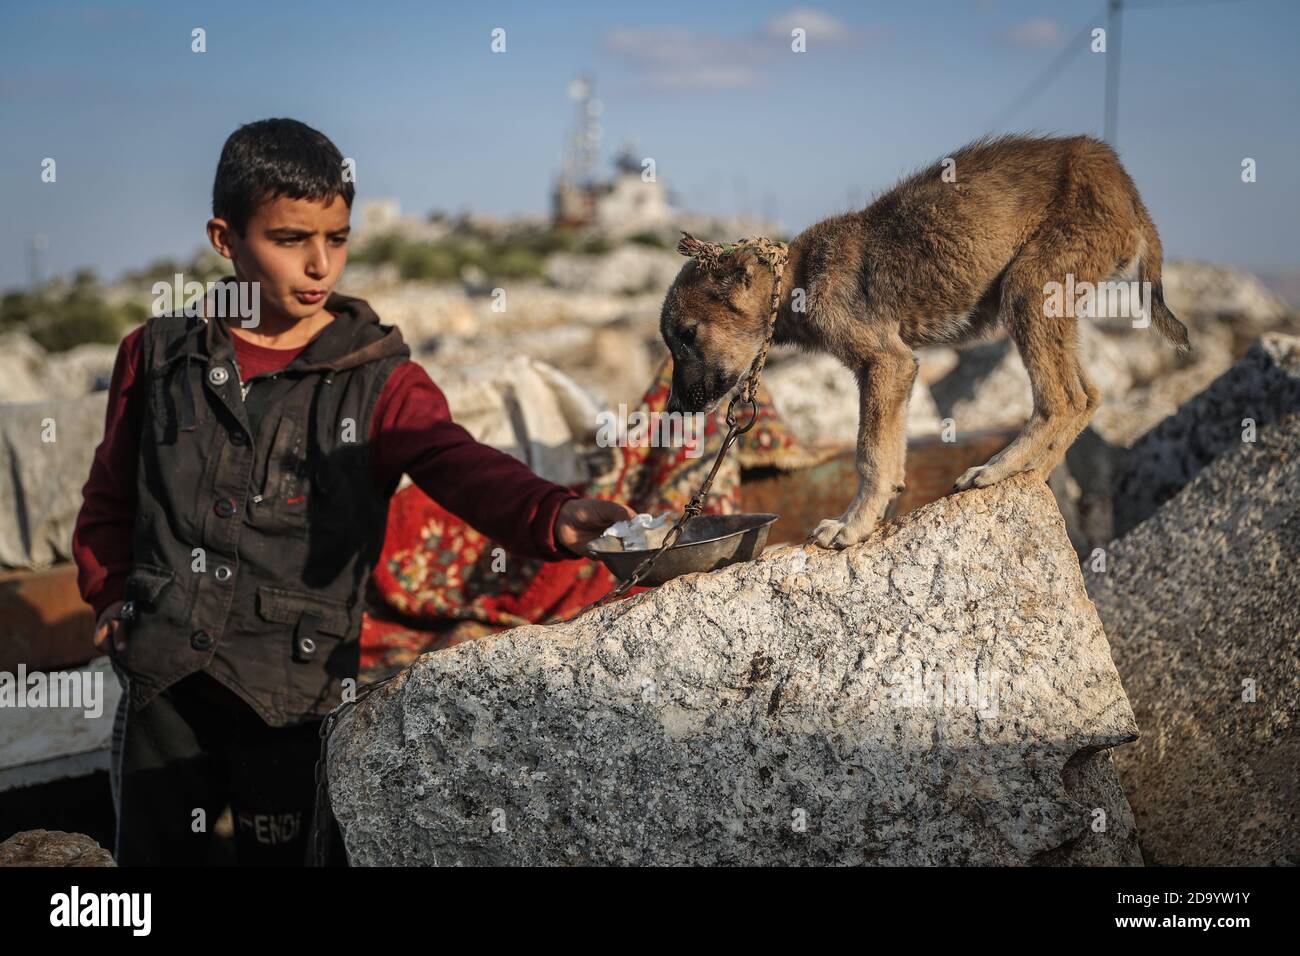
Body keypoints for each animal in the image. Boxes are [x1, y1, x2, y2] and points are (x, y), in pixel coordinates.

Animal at [660, 136, 1190, 554]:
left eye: (686, 335)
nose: (673, 411)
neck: (799, 277)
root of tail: (1125, 188)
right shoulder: (893, 371)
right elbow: (891, 453)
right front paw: (870, 516)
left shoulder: (885, 362)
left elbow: (870, 454)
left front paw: (850, 528)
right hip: (1058, 305)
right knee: (1088, 396)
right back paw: (1033, 474)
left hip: (1029, 286)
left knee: (1061, 399)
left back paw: (994, 471)